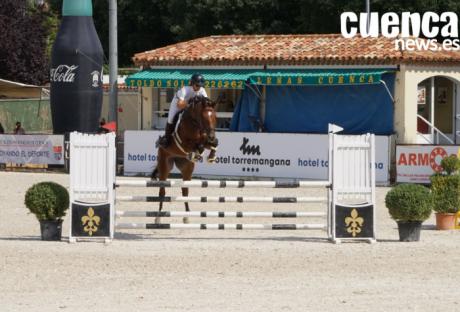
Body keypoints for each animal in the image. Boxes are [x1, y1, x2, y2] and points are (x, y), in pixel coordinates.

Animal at [149, 95, 217, 224]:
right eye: (204, 117)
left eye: (214, 116)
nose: (211, 135)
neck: (194, 122)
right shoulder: (185, 142)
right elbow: (197, 145)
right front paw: (198, 152)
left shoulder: (205, 138)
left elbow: (213, 143)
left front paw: (211, 156)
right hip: (164, 166)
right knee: (162, 191)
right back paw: (158, 217)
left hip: (187, 168)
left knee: (185, 190)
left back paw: (186, 217)